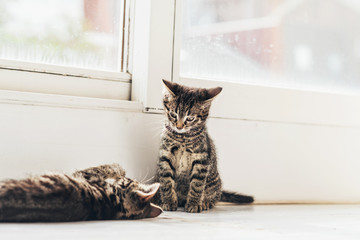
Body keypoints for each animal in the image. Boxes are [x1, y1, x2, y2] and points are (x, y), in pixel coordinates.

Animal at [0, 163, 161, 221]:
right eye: (133, 179)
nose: (126, 177)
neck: (113, 205)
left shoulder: (84, 175)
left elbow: (106, 167)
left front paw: (118, 169)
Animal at [156, 79, 255, 213]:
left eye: (190, 118)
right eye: (173, 115)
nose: (179, 126)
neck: (182, 138)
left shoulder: (201, 160)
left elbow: (197, 185)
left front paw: (193, 204)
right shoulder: (165, 156)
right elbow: (166, 181)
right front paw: (169, 202)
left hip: (214, 184)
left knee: (214, 197)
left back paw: (205, 202)